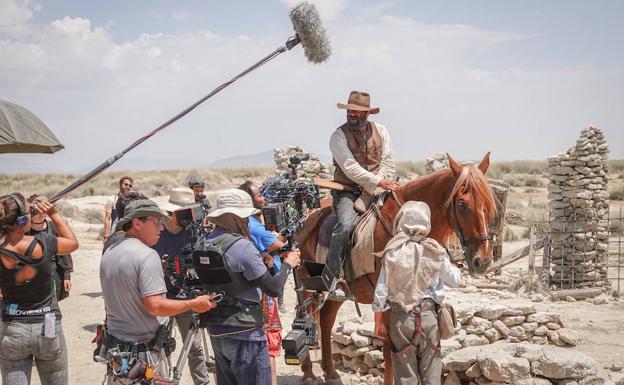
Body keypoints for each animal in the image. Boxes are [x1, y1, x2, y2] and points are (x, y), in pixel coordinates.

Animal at [298, 152, 498, 382]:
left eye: (489, 204)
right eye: (463, 204)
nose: (482, 260)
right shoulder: (388, 302)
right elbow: (390, 352)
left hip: (336, 293)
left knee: (326, 320)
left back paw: (330, 372)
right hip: (306, 285)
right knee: (305, 318)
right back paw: (308, 371)